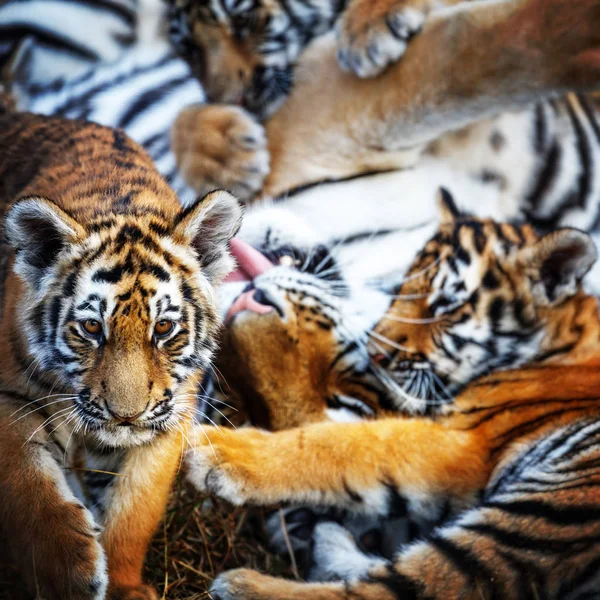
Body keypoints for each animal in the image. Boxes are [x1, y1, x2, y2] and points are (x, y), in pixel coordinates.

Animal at [0, 105, 243, 596]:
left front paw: (125, 586)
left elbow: (134, 509)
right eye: (92, 327)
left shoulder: (168, 420)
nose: (126, 415)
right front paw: (71, 574)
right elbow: (30, 487)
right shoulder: (9, 398)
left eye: (163, 328)